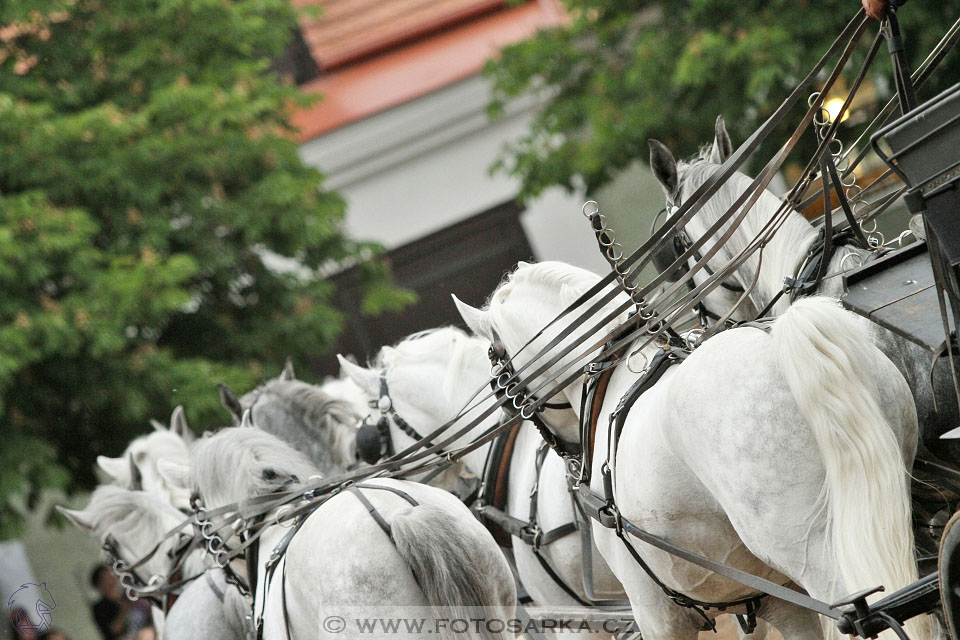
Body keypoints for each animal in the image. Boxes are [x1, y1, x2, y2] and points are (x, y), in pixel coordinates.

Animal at [454, 260, 928, 640]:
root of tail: (782, 340)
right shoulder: (779, 601)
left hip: (817, 554)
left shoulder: (656, 613)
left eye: (495, 362)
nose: (565, 455)